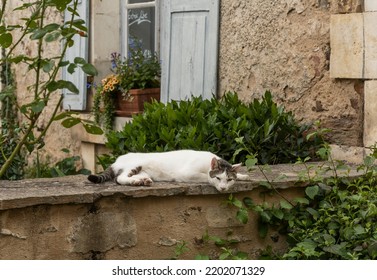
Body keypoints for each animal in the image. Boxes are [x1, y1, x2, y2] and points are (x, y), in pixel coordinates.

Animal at [86, 150, 248, 191]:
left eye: (229, 179)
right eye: (218, 178)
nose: (223, 188)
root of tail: (116, 160)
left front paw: (242, 175)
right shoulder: (186, 174)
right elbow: (205, 176)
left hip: (143, 170)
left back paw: (142, 181)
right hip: (135, 165)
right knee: (120, 178)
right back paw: (135, 182)